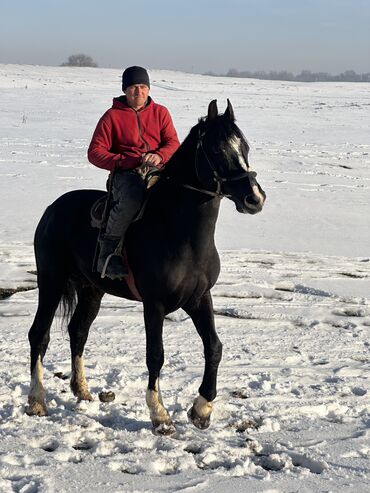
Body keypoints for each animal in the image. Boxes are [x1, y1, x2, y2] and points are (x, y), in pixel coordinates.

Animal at [27, 99, 264, 430]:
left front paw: (202, 409)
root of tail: (51, 210)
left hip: (91, 289)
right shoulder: (154, 303)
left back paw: (83, 390)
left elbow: (214, 347)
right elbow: (156, 354)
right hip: (51, 281)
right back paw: (37, 400)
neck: (181, 235)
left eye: (244, 146)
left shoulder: (199, 297)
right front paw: (160, 414)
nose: (254, 198)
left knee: (78, 331)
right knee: (40, 334)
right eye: (217, 150)